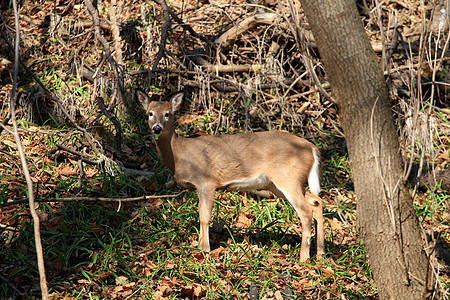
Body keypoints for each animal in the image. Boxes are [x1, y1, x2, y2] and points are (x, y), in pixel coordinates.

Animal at [135, 89, 326, 262]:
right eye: (150, 113)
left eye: (167, 114)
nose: (157, 128)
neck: (179, 152)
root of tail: (312, 147)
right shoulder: (199, 187)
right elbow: (201, 214)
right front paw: (199, 247)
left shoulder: (207, 181)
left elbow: (205, 216)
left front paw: (204, 249)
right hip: (279, 184)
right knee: (316, 201)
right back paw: (320, 253)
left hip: (288, 178)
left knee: (306, 211)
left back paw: (303, 258)